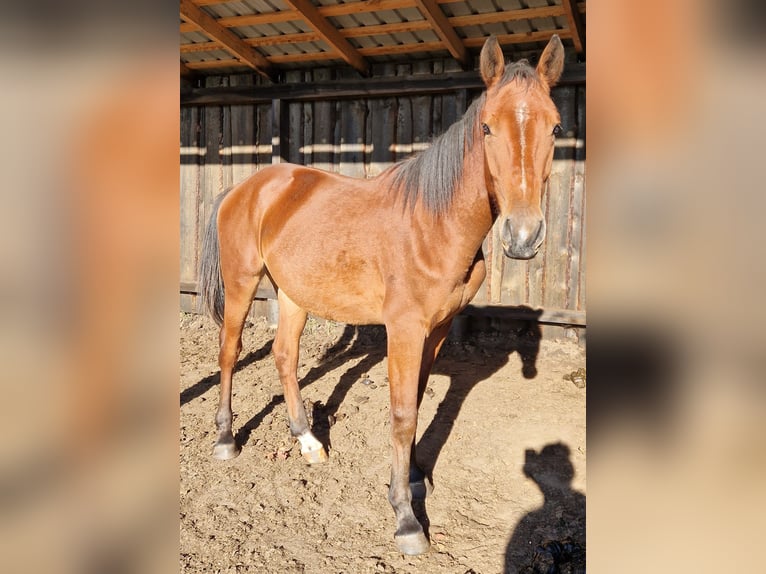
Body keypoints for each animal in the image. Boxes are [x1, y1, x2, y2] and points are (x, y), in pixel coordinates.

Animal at [198, 36, 568, 560]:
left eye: (555, 126)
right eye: (487, 127)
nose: (524, 235)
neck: (433, 223)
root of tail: (244, 188)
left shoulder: (436, 330)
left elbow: (416, 401)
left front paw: (415, 477)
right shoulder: (404, 330)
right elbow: (401, 413)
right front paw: (405, 517)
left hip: (294, 294)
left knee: (285, 356)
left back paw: (307, 440)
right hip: (242, 285)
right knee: (230, 353)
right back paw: (226, 437)